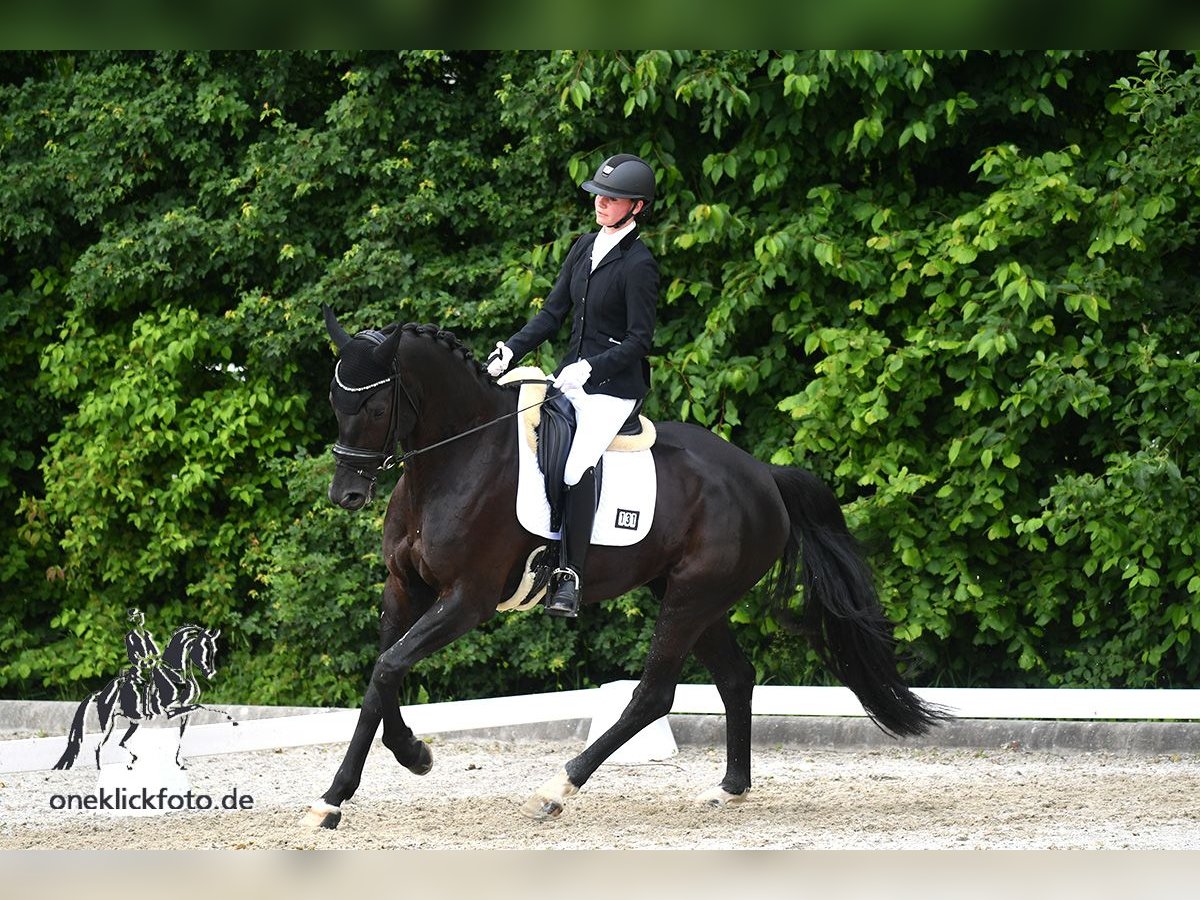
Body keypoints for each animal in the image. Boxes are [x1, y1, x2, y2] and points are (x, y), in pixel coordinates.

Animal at [52, 624, 235, 772]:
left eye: (213, 649)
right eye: (204, 647)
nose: (210, 672)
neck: (175, 675)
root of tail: (100, 693)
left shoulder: (183, 712)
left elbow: (184, 730)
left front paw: (180, 763)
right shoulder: (171, 711)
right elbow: (201, 706)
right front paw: (231, 719)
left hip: (133, 722)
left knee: (120, 743)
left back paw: (131, 763)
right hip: (109, 724)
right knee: (99, 746)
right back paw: (104, 769)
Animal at [307, 309, 945, 830]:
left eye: (375, 406)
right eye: (336, 404)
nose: (346, 495)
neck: (456, 459)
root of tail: (763, 475)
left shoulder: (468, 599)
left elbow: (389, 666)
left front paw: (351, 789)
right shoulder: (404, 587)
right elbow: (381, 675)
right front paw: (391, 765)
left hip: (690, 598)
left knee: (654, 695)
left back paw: (556, 789)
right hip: (696, 598)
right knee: (735, 677)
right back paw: (729, 789)